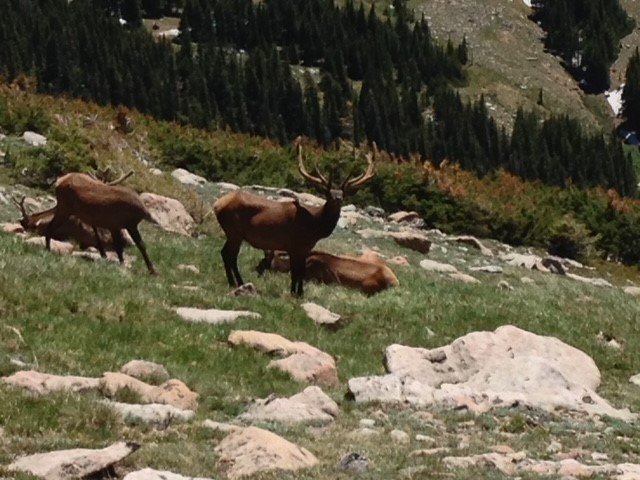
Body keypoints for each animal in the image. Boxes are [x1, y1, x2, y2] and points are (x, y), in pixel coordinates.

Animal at [212, 142, 378, 296]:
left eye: (343, 194)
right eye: (328, 194)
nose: (338, 198)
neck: (315, 227)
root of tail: (217, 205)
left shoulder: (304, 249)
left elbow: (301, 272)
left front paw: (300, 293)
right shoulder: (292, 245)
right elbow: (295, 272)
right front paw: (293, 293)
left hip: (233, 233)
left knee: (225, 253)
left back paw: (235, 282)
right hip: (235, 231)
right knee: (229, 255)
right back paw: (237, 282)